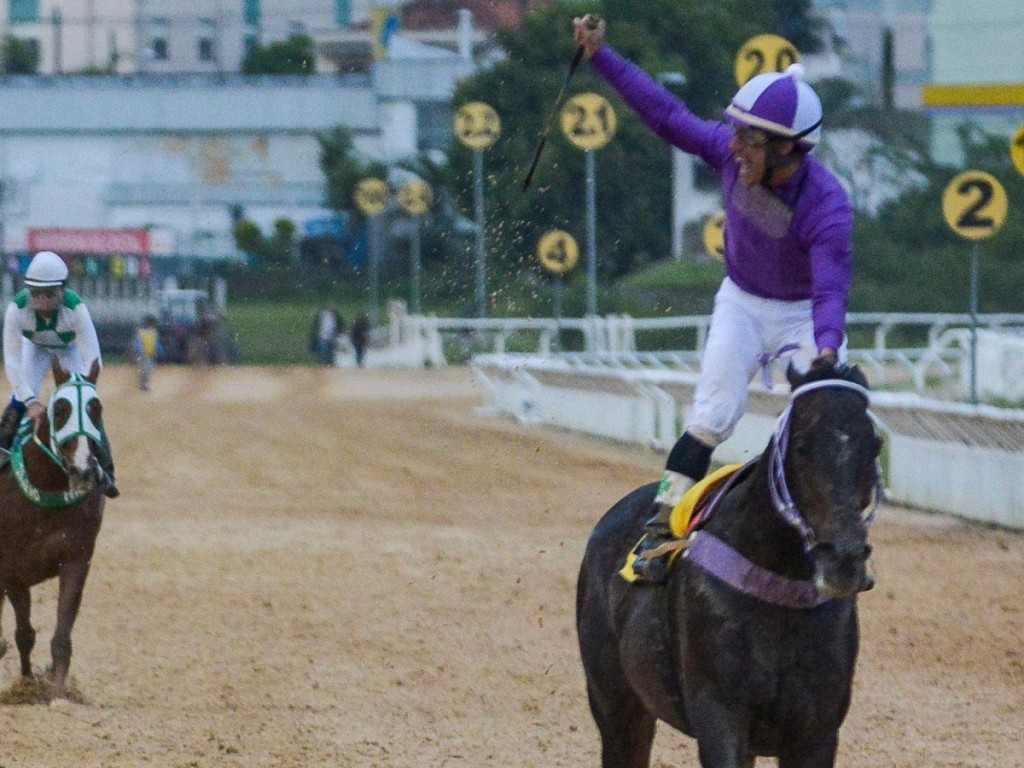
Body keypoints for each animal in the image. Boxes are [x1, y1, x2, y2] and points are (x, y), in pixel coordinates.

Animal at [0, 360, 107, 696]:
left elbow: (58, 637)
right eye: (60, 409)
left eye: (96, 408)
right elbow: (18, 635)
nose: (83, 467)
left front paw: (57, 693)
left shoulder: (76, 559)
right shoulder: (9, 568)